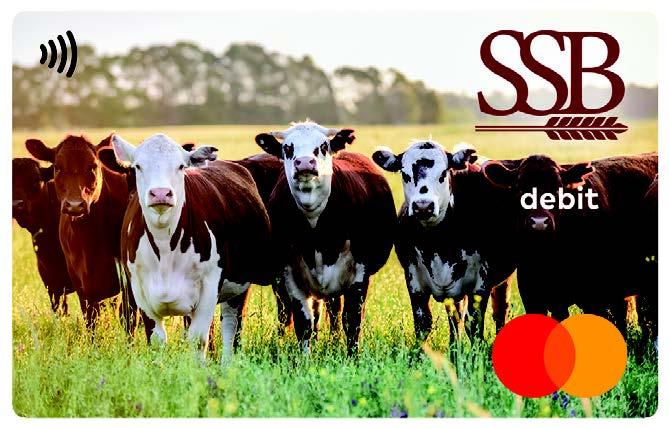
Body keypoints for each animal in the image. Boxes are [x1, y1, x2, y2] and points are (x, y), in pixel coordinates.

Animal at [106, 133, 273, 362]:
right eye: (137, 166)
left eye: (180, 166)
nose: (160, 193)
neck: (164, 247)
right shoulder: (140, 290)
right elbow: (156, 341)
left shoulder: (210, 285)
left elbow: (198, 340)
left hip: (238, 285)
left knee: (231, 326)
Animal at [255, 121, 396, 355]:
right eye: (287, 148)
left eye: (323, 146)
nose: (304, 163)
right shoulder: (289, 272)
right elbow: (304, 323)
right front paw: (305, 358)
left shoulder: (360, 272)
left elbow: (352, 320)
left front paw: (352, 357)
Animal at [372, 141, 516, 344]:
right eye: (405, 174)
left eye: (443, 174)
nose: (423, 206)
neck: (438, 243)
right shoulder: (413, 279)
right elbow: (423, 323)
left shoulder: (480, 283)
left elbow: (474, 324)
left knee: (500, 310)